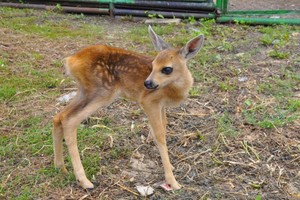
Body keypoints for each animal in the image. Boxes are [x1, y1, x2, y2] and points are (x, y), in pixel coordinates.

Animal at [53, 25, 204, 190]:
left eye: (167, 69)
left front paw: (170, 167)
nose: (147, 83)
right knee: (70, 120)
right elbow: (159, 135)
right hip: (102, 91)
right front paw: (172, 181)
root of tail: (70, 61)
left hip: (84, 91)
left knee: (59, 116)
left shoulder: (161, 105)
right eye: (153, 65)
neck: (174, 89)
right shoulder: (148, 101)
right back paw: (84, 180)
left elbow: (161, 129)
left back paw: (60, 167)